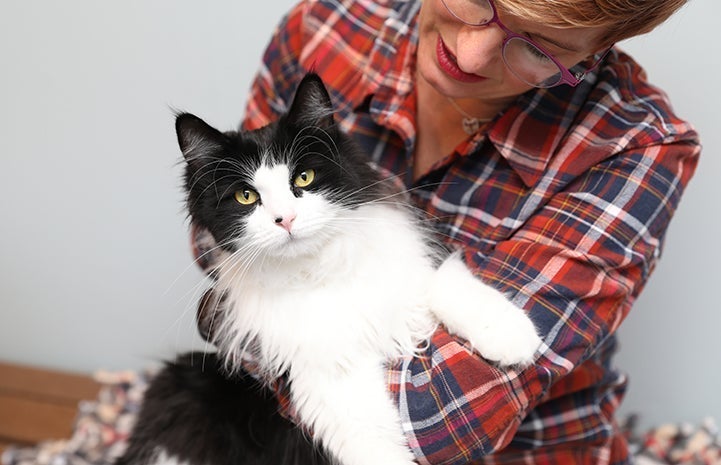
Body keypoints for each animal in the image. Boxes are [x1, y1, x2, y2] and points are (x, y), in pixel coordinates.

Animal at [115, 72, 540, 464]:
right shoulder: (321, 369)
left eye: (304, 177)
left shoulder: (411, 271)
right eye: (246, 196)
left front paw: (512, 336)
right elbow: (367, 435)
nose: (285, 219)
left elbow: (444, 281)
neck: (317, 270)